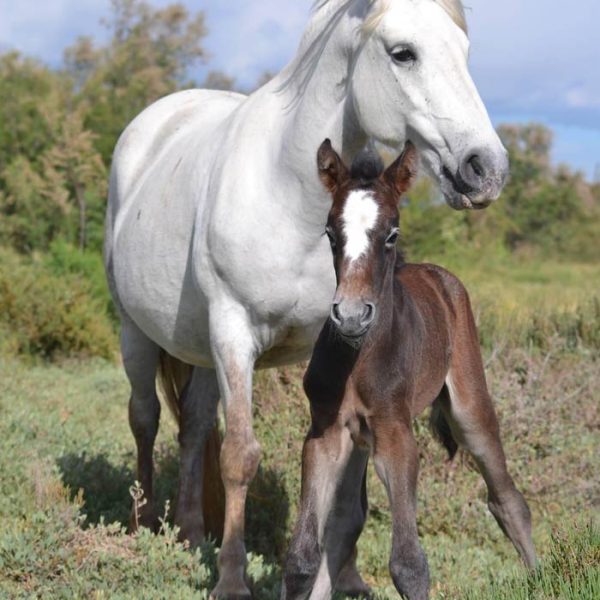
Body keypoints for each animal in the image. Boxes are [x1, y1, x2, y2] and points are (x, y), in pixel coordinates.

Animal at [105, 1, 508, 596]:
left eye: (465, 52)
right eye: (403, 53)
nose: (487, 169)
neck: (289, 195)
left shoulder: (347, 339)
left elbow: (347, 478)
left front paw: (346, 575)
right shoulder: (234, 332)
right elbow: (239, 456)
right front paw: (232, 580)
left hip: (199, 346)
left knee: (194, 426)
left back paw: (192, 531)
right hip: (137, 331)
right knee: (145, 417)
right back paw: (142, 523)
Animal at [284, 139, 536, 600]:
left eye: (391, 234)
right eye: (330, 233)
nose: (351, 315)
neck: (358, 358)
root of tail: (438, 274)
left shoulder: (396, 434)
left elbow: (409, 563)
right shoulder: (325, 433)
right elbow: (303, 555)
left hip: (469, 408)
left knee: (506, 498)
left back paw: (540, 575)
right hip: (358, 439)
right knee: (345, 520)